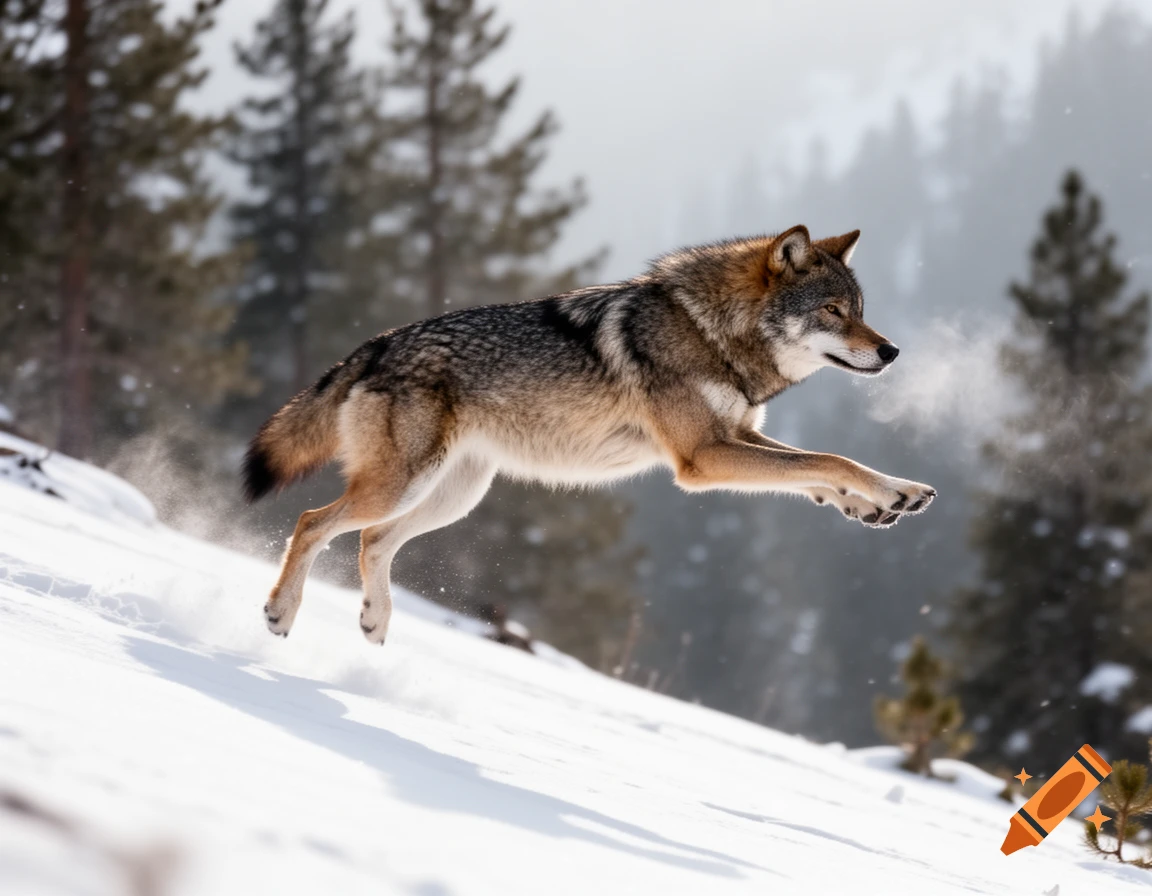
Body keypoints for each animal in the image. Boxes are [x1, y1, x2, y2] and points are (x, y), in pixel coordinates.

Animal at [244, 225, 935, 643]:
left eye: (862, 311)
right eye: (833, 311)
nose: (893, 351)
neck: (712, 331)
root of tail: (376, 344)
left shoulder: (732, 437)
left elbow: (817, 468)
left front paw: (887, 498)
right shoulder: (702, 458)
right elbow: (831, 457)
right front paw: (882, 493)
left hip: (452, 497)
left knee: (371, 541)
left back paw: (376, 621)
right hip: (403, 486)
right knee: (312, 521)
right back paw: (280, 612)